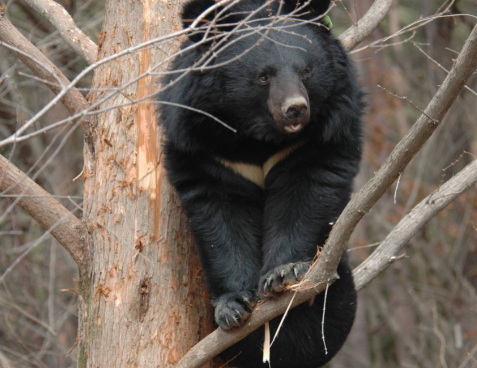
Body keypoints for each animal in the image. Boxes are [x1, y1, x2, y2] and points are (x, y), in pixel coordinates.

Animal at [158, 0, 362, 366]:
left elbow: (305, 195)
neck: (257, 137)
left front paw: (283, 273)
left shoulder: (325, 129)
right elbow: (221, 218)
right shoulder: (202, 144)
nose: (296, 109)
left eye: (306, 72)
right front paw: (233, 306)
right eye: (263, 76)